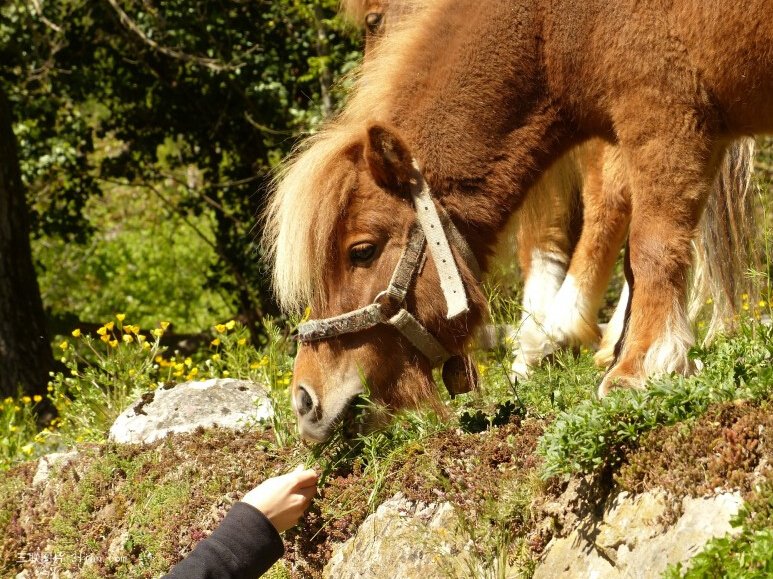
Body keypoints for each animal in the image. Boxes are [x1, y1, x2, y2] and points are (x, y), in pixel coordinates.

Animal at [266, 0, 772, 442]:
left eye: (362, 250)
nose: (304, 400)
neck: (549, 27)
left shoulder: (665, 114)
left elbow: (651, 244)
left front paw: (638, 367)